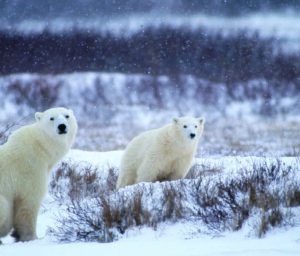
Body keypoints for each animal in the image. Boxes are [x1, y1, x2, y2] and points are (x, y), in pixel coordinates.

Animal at [0, 107, 77, 242]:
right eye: (51, 118)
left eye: (67, 116)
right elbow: (29, 202)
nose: (62, 126)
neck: (40, 146)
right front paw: (32, 237)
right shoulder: (31, 168)